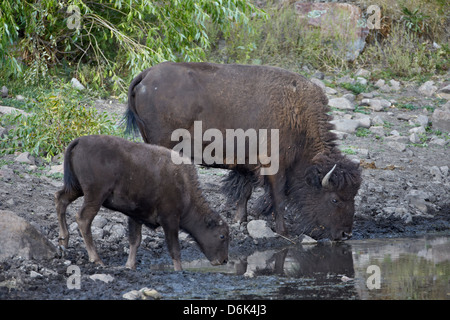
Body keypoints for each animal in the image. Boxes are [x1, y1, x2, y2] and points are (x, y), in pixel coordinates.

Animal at [55, 134, 229, 270]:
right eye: (222, 236)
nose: (224, 260)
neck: (185, 186)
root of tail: (80, 140)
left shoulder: (136, 215)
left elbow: (135, 240)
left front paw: (129, 265)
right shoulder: (170, 219)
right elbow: (174, 248)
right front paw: (179, 270)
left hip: (76, 188)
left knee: (60, 199)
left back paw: (64, 240)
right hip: (95, 195)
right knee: (83, 218)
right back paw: (97, 260)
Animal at [124, 62, 362, 240]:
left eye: (353, 195)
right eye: (335, 199)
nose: (346, 234)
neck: (297, 115)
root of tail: (145, 75)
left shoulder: (246, 163)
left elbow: (244, 192)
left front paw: (240, 220)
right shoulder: (275, 165)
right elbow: (278, 197)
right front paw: (284, 232)